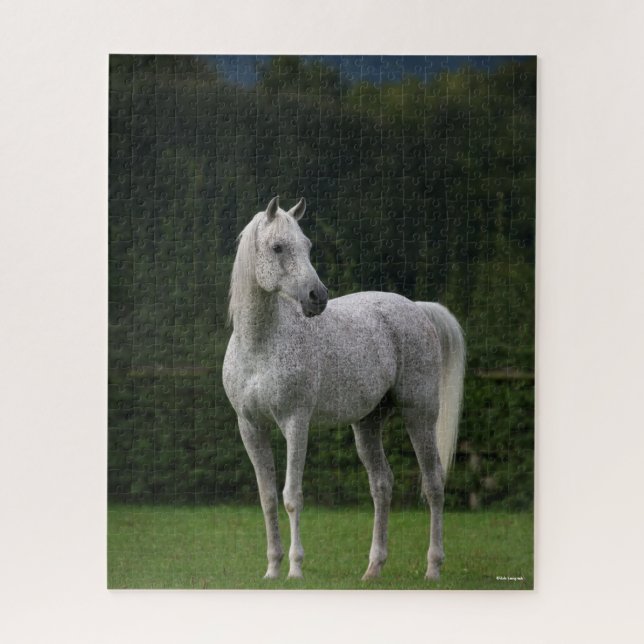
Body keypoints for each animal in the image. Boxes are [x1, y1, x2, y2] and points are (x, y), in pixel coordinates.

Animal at [222, 196, 465, 581]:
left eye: (307, 245)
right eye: (278, 247)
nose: (317, 297)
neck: (260, 344)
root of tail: (417, 309)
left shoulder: (296, 424)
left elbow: (292, 496)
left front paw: (295, 569)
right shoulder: (251, 427)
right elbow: (268, 498)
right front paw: (273, 568)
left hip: (420, 417)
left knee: (433, 484)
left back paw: (432, 568)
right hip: (367, 424)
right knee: (382, 485)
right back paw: (373, 568)